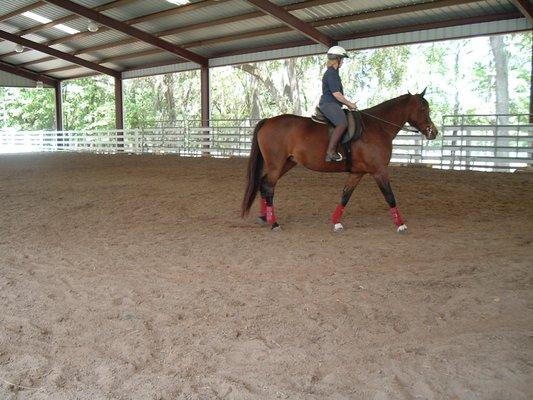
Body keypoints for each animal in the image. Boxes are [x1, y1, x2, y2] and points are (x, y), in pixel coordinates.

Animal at [241, 90, 436, 233]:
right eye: (423, 109)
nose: (433, 132)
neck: (377, 127)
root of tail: (268, 121)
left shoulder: (357, 173)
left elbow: (345, 195)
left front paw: (336, 222)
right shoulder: (379, 171)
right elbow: (390, 196)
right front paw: (401, 224)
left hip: (287, 163)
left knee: (263, 183)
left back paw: (264, 217)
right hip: (276, 164)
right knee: (269, 187)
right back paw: (274, 223)